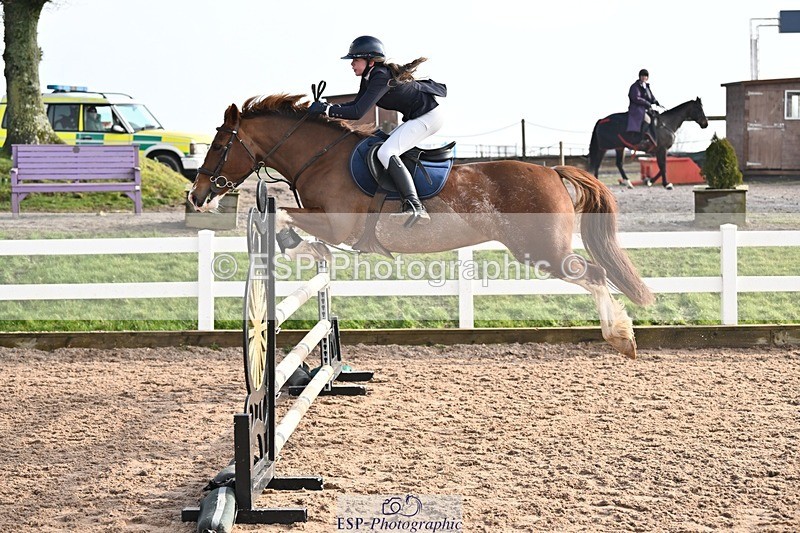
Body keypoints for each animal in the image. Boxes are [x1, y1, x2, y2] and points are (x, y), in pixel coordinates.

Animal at [187, 94, 655, 358]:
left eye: (219, 144)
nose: (196, 195)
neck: (319, 156)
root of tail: (553, 172)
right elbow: (295, 227)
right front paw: (306, 249)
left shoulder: (338, 225)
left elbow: (284, 215)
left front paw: (299, 245)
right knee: (595, 275)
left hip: (542, 252)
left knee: (594, 275)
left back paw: (621, 339)